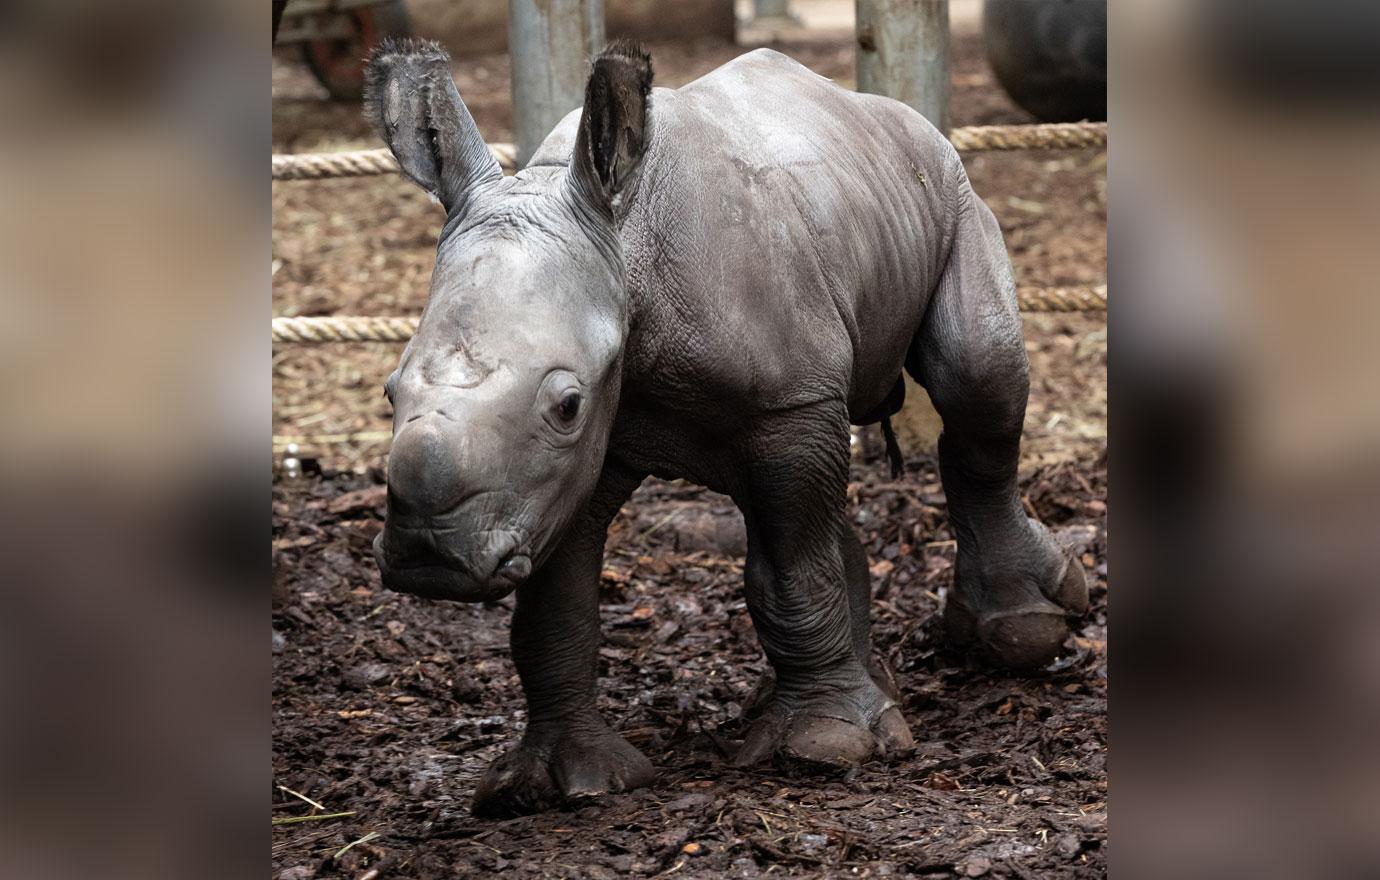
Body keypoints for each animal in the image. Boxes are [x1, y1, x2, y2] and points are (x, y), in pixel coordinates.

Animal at [369, 36, 1087, 822]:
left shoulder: (780, 404)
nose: (430, 555)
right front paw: (560, 783)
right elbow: (557, 592)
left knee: (975, 385)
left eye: (566, 404)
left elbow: (793, 573)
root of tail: (892, 114)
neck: (624, 244)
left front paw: (827, 748)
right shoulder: (573, 459)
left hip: (952, 192)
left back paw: (1021, 634)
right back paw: (841, 696)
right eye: (389, 392)